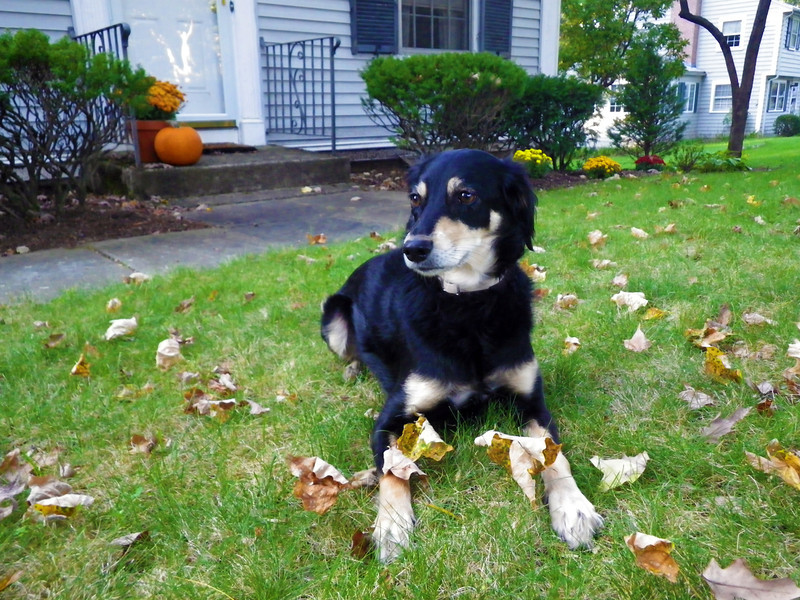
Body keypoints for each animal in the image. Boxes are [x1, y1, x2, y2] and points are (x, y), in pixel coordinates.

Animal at [320, 150, 600, 564]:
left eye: (466, 195)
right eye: (415, 198)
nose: (412, 249)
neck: (468, 305)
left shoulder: (532, 401)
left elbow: (554, 454)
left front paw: (573, 508)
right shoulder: (390, 419)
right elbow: (393, 469)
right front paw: (391, 526)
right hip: (334, 316)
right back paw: (354, 369)